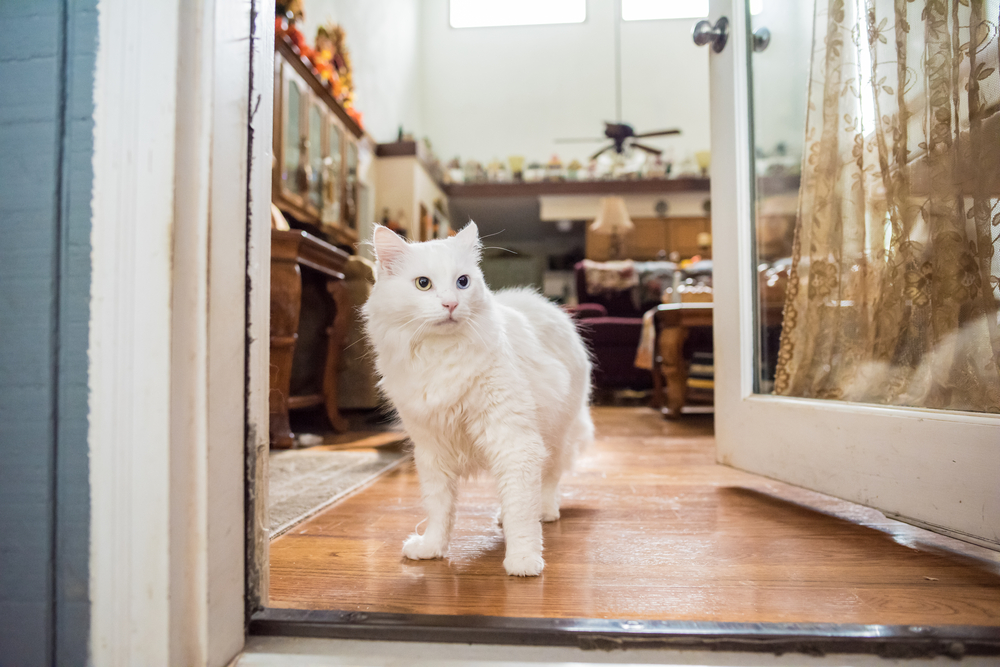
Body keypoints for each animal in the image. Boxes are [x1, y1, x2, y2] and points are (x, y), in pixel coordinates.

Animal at [362, 222, 588, 576]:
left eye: (463, 282)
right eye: (423, 284)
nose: (451, 304)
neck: (440, 355)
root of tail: (547, 305)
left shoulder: (514, 441)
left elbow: (521, 515)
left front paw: (523, 561)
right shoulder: (432, 451)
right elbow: (439, 510)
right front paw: (431, 549)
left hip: (556, 432)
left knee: (548, 480)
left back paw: (545, 511)